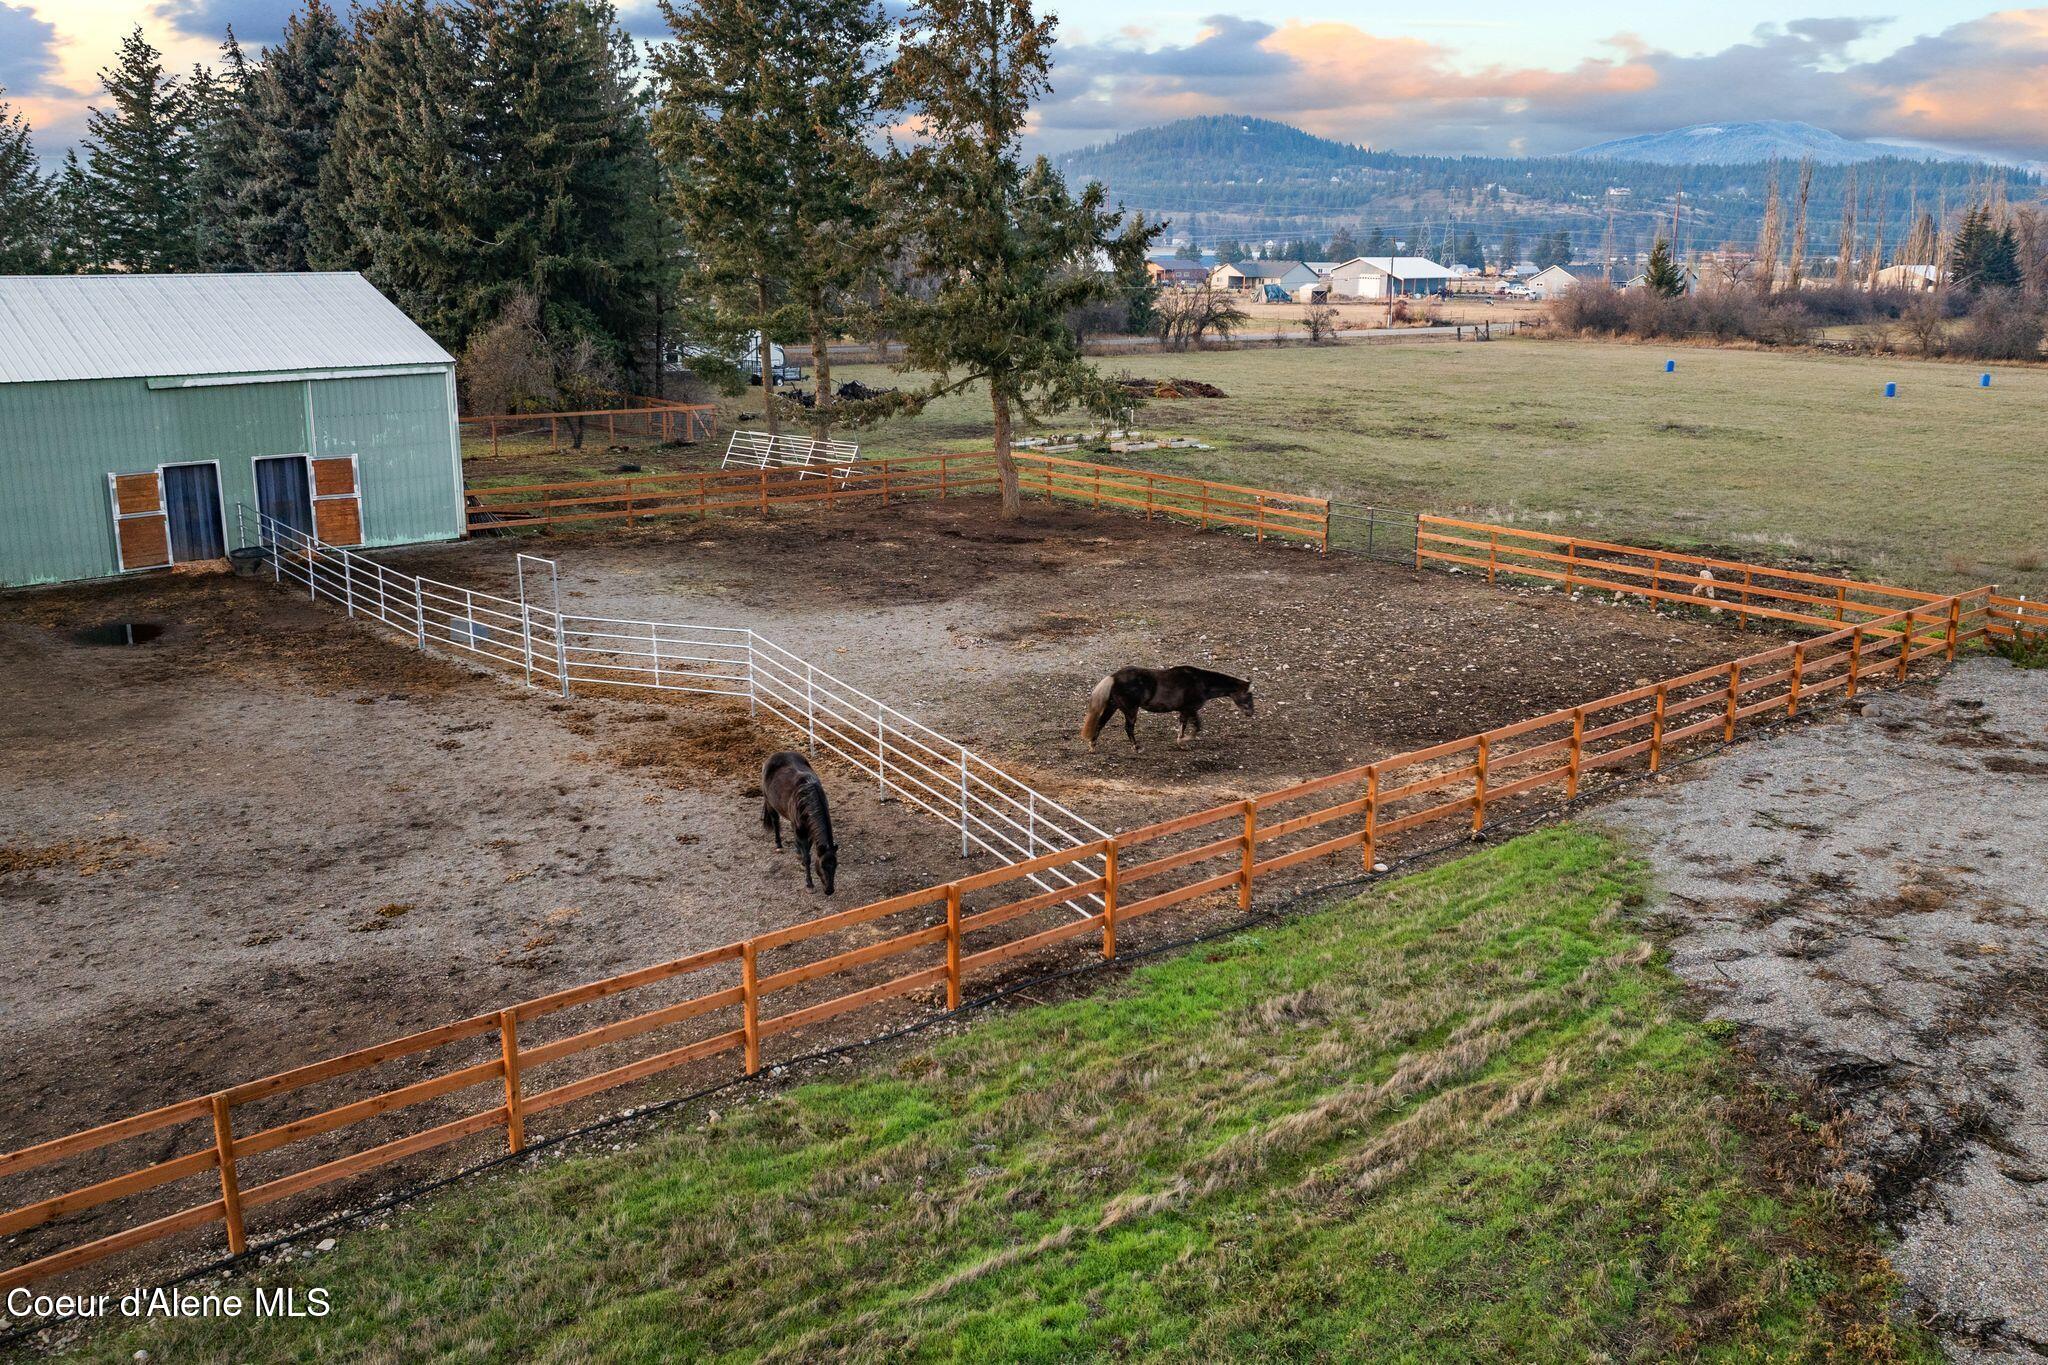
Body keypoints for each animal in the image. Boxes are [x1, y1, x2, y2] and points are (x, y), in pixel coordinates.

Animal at [765, 749, 835, 896]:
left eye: (835, 865)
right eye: (822, 866)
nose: (829, 890)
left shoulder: (808, 829)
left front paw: (800, 855)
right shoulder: (801, 829)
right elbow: (808, 858)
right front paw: (809, 884)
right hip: (770, 803)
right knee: (775, 821)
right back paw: (779, 845)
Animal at [1081, 667, 1253, 753]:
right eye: (1249, 694)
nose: (1251, 713)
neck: (1201, 682)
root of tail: (1113, 677)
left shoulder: (1184, 711)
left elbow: (1183, 726)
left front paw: (1181, 743)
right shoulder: (1191, 709)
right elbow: (1197, 727)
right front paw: (1185, 741)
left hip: (1113, 706)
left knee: (1100, 723)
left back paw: (1092, 746)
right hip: (1130, 710)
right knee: (1128, 728)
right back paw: (1137, 748)